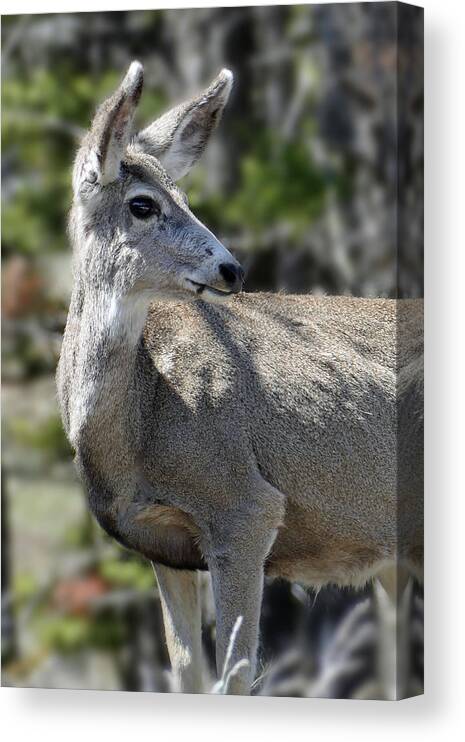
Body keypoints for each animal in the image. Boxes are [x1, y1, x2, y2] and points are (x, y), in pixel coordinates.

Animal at [56, 62, 422, 696]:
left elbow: (236, 674)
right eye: (143, 205)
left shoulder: (245, 505)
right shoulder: (163, 547)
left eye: (184, 196)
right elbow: (186, 674)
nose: (232, 268)